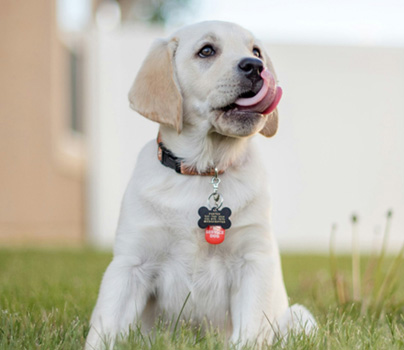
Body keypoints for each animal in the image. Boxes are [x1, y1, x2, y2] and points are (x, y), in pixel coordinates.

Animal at [87, 20, 318, 348]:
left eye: (256, 51)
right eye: (206, 51)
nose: (256, 67)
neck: (204, 171)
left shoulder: (254, 261)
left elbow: (249, 331)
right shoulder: (131, 263)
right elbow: (104, 327)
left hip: (300, 316)